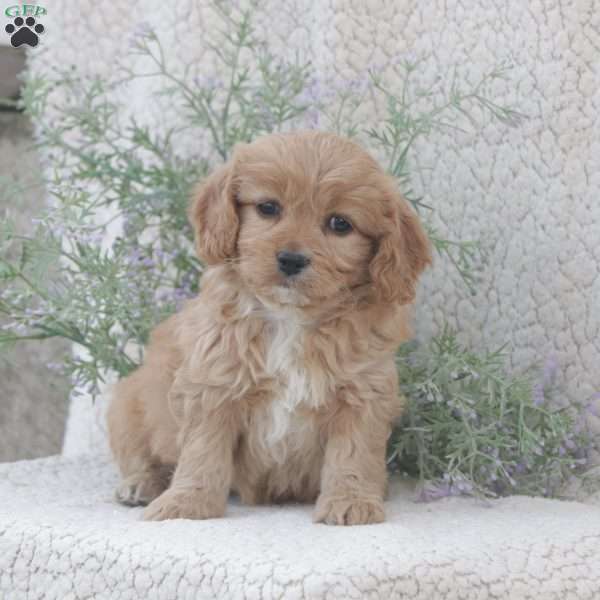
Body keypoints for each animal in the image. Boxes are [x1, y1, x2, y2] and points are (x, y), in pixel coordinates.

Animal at [108, 130, 432, 524]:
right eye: (268, 208)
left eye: (340, 224)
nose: (291, 259)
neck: (289, 318)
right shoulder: (212, 386)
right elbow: (203, 452)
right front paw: (186, 504)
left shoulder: (363, 393)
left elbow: (353, 453)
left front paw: (351, 501)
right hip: (128, 404)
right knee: (141, 453)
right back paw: (140, 484)